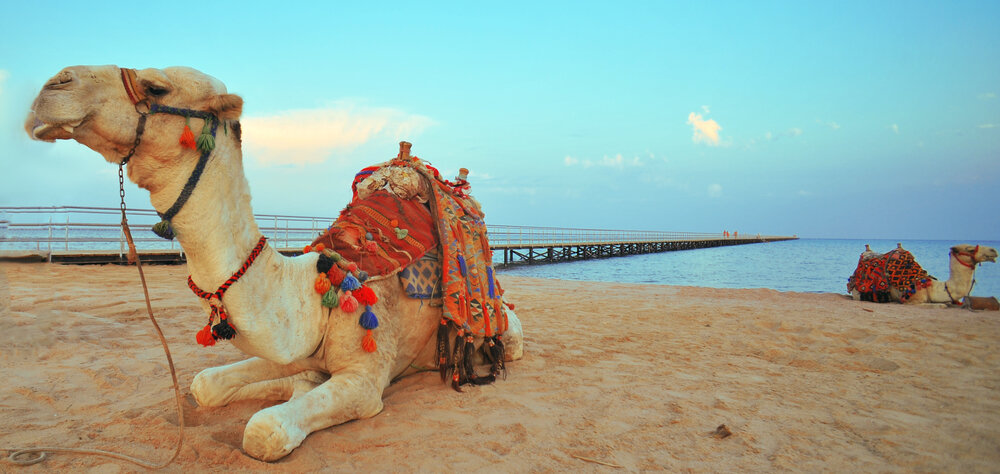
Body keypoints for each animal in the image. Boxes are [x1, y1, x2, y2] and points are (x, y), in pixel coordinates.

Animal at [21, 65, 524, 462]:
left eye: (156, 87)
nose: (53, 85)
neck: (316, 292)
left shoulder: (364, 377)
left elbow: (264, 429)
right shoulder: (293, 348)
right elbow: (206, 384)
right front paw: (285, 384)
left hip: (499, 324)